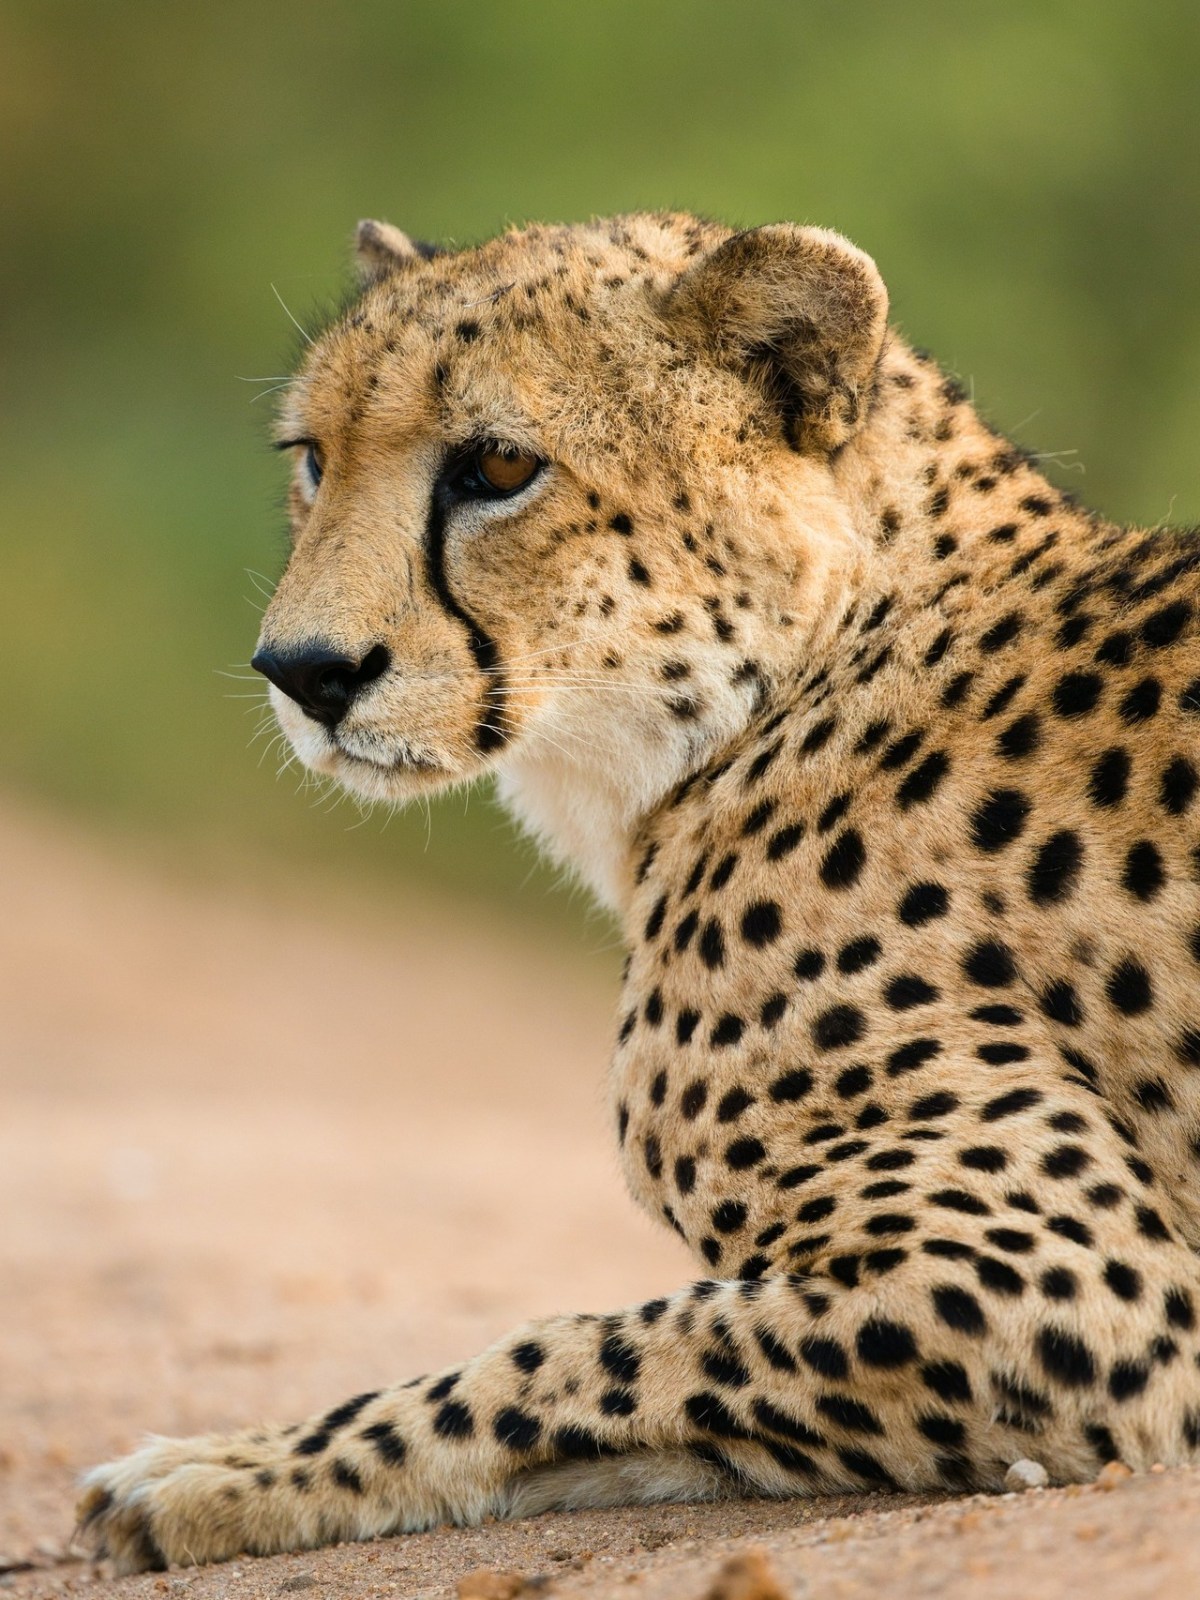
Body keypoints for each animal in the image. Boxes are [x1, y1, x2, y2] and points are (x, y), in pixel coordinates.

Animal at [78, 210, 1200, 1574]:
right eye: (313, 459)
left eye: (500, 463)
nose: (304, 671)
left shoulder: (1073, 1290)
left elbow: (555, 1352)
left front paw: (223, 1471)